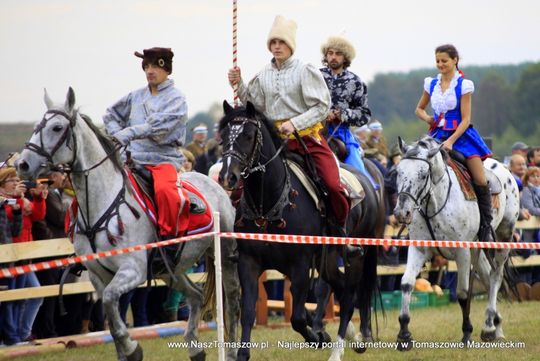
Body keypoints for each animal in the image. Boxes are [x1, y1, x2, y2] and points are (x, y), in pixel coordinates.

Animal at [15, 88, 239, 360]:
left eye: (57, 127)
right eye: (37, 126)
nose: (22, 164)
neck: (102, 202)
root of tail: (215, 184)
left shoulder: (132, 270)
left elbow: (112, 303)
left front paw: (132, 348)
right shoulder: (98, 277)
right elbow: (111, 317)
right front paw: (127, 349)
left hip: (224, 254)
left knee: (232, 298)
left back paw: (232, 350)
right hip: (170, 270)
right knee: (196, 296)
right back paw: (195, 348)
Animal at [217, 100, 378, 360]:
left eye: (248, 135)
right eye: (223, 137)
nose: (227, 177)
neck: (269, 205)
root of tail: (369, 186)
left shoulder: (300, 265)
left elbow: (298, 317)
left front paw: (319, 338)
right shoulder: (248, 263)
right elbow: (249, 312)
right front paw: (242, 354)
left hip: (354, 254)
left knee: (351, 294)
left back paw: (344, 346)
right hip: (327, 260)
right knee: (341, 288)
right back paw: (353, 337)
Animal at [392, 136, 520, 348]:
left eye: (423, 174)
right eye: (398, 172)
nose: (402, 213)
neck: (434, 203)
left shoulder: (462, 252)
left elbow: (462, 293)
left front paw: (467, 332)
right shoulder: (419, 249)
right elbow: (407, 284)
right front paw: (404, 334)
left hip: (503, 237)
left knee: (495, 276)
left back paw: (489, 327)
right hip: (479, 249)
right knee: (487, 277)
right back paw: (497, 327)